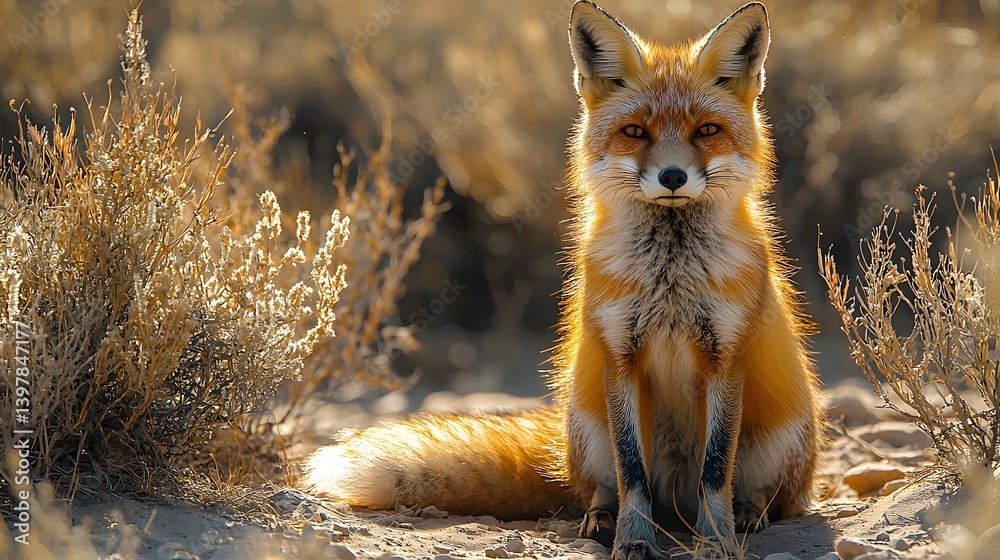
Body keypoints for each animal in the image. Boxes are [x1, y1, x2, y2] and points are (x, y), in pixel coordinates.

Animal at [305, 2, 821, 558]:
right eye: (635, 132)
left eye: (706, 131)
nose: (673, 177)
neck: (670, 276)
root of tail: (674, 503)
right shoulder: (620, 356)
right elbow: (632, 474)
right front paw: (633, 541)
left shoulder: (724, 358)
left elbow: (714, 471)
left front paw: (716, 542)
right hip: (586, 426)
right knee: (602, 489)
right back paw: (601, 519)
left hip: (781, 438)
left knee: (773, 497)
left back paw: (747, 513)